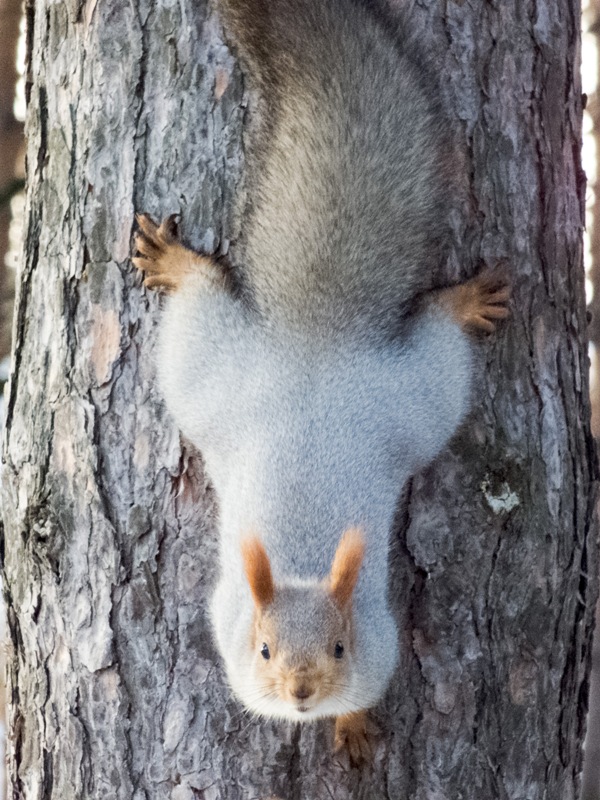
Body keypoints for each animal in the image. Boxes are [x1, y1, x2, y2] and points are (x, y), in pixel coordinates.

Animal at [130, 0, 506, 768]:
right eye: (264, 649)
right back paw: (177, 261)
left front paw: (352, 725)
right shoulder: (226, 624)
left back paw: (464, 302)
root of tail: (316, 344)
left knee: (439, 335)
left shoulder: (381, 647)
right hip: (207, 366)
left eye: (339, 647)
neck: (301, 566)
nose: (301, 692)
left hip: (420, 395)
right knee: (199, 295)